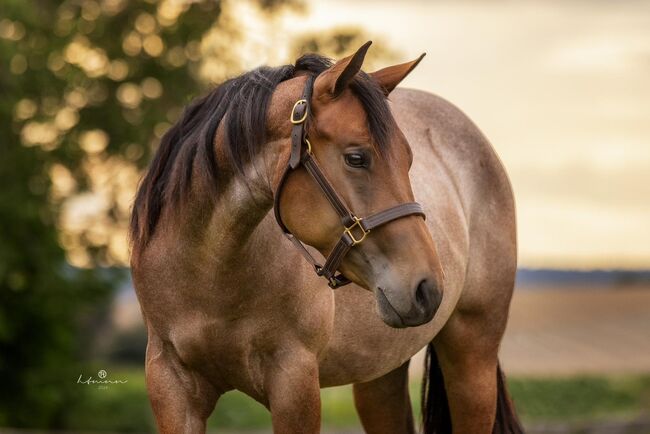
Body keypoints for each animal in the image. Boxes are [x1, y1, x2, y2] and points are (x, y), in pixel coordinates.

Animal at [129, 41, 520, 434]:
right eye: (356, 158)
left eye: (409, 160)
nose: (428, 288)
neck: (208, 270)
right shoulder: (171, 385)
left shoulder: (295, 383)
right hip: (380, 376)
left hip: (472, 359)